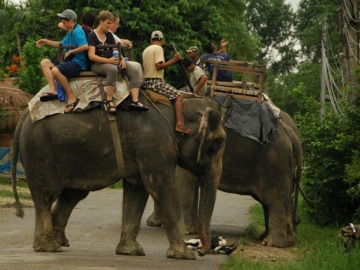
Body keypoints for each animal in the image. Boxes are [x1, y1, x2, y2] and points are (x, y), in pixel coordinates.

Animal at [11, 95, 225, 260]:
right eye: (215, 145)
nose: (203, 251)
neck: (181, 103)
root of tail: (24, 115)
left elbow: (137, 190)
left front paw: (131, 252)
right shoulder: (154, 144)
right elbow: (161, 188)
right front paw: (185, 256)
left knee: (73, 194)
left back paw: (59, 242)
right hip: (39, 153)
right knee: (46, 195)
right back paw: (48, 247)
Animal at [146, 108, 300, 248]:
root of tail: (290, 133)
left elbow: (182, 180)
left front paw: (182, 230)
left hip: (275, 164)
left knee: (275, 200)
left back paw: (272, 243)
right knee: (275, 202)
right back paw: (283, 240)